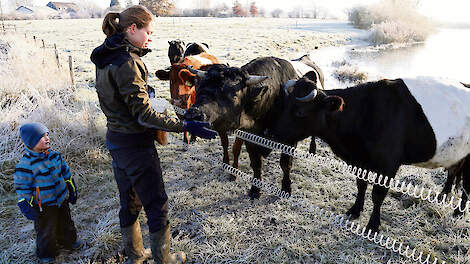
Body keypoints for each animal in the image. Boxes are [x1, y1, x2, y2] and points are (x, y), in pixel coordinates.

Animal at [185, 55, 324, 198]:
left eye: (233, 95)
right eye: (199, 88)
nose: (194, 114)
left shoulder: (289, 141)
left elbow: (285, 165)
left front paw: (286, 188)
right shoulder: (250, 139)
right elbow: (256, 164)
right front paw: (255, 189)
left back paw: (312, 149)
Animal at [268, 76, 470, 231]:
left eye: (300, 112)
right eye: (283, 105)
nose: (270, 133)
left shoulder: (388, 164)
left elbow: (378, 194)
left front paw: (373, 225)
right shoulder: (359, 160)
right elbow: (361, 185)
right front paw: (355, 210)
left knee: (466, 186)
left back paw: (458, 212)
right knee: (454, 173)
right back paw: (444, 196)